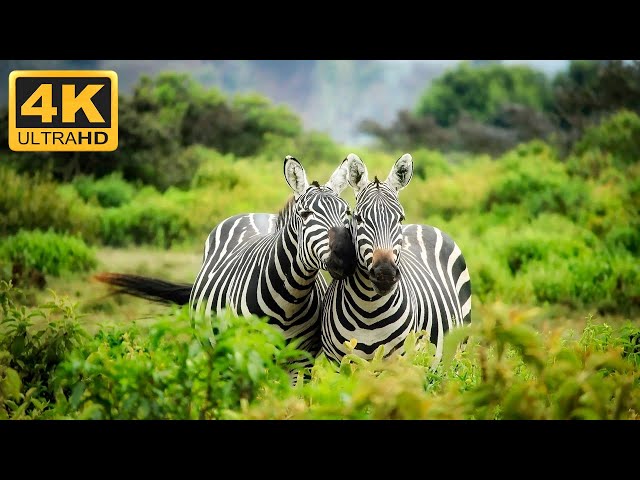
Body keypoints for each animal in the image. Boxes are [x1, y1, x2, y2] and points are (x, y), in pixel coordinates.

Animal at [96, 155, 356, 373]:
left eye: (347, 213)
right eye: (305, 215)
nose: (345, 257)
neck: (290, 299)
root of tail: (255, 213)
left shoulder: (302, 361)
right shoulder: (247, 354)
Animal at [320, 153, 472, 366]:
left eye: (400, 218)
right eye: (358, 218)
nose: (385, 274)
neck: (369, 310)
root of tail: (423, 225)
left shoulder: (400, 362)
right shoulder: (339, 364)